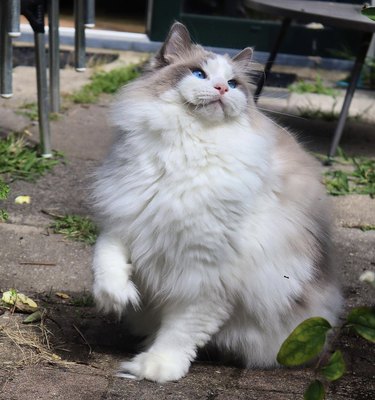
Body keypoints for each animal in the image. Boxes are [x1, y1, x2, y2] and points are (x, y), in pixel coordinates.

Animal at [91, 22, 344, 384]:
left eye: (234, 83)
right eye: (199, 73)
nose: (223, 88)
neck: (188, 147)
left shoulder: (206, 274)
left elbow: (180, 331)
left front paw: (156, 368)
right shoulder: (127, 218)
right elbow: (105, 261)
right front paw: (117, 298)